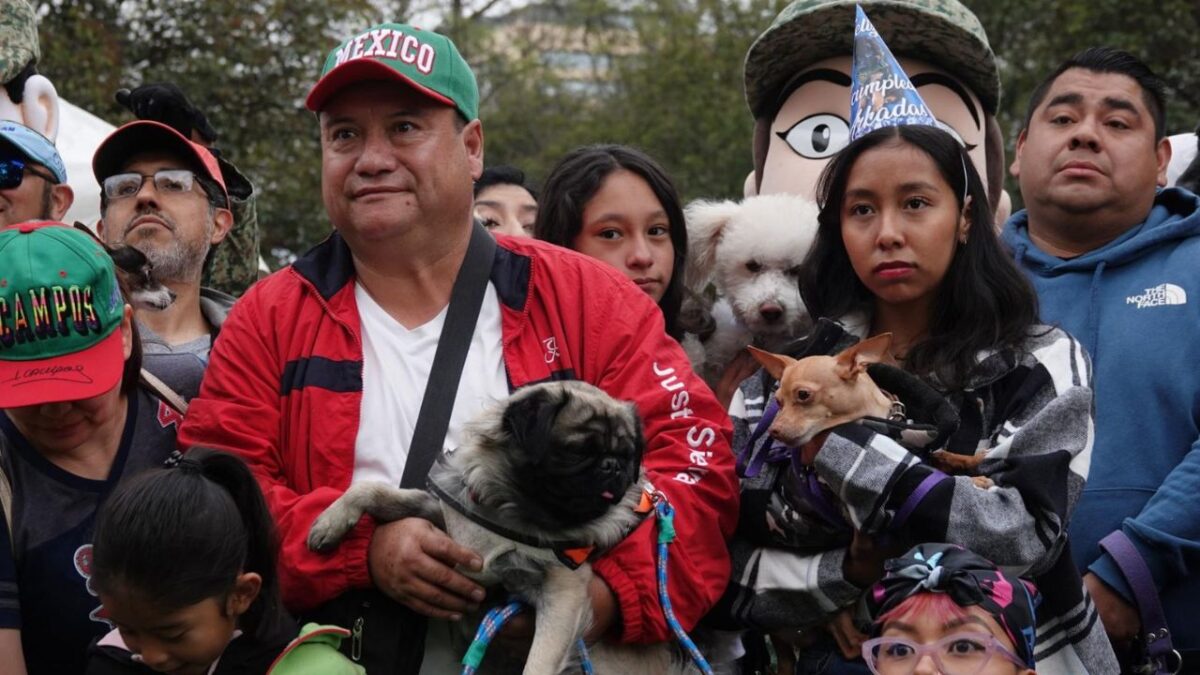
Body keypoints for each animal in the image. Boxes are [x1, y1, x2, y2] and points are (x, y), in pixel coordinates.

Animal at [309, 381, 691, 667]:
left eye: (627, 456)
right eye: (577, 451)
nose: (613, 465)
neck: (516, 507)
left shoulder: (563, 593)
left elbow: (539, 661)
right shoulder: (445, 521)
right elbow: (374, 490)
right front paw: (332, 520)